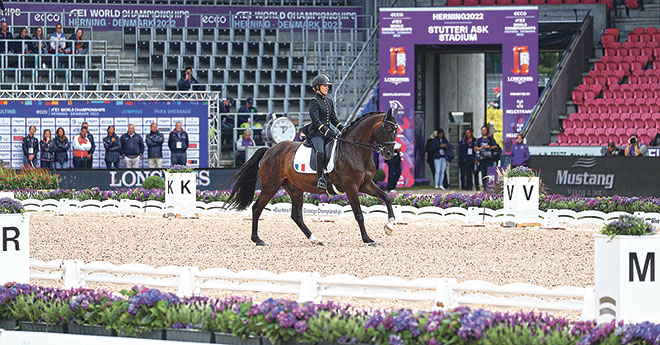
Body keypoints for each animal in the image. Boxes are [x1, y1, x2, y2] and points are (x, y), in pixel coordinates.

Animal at [224, 109, 400, 246]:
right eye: (387, 129)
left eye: (396, 130)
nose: (389, 154)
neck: (355, 150)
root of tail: (269, 150)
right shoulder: (351, 187)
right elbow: (359, 215)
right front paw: (368, 239)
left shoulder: (365, 184)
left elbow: (386, 197)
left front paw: (390, 226)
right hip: (271, 186)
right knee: (256, 208)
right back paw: (257, 239)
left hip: (295, 189)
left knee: (296, 216)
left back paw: (315, 239)